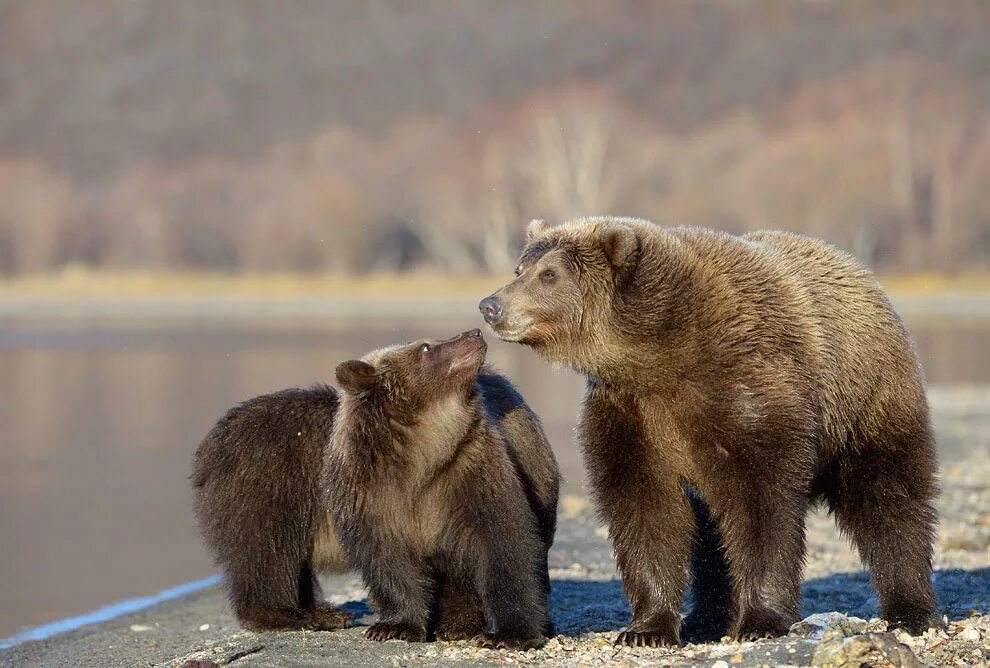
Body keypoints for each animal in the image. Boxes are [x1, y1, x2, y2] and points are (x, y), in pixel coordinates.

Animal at [480, 217, 936, 644]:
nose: (490, 304)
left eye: (549, 274)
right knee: (712, 533)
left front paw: (761, 621)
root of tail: (861, 273)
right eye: (521, 268)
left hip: (866, 403)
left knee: (889, 500)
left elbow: (762, 508)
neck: (663, 352)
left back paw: (910, 611)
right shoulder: (632, 414)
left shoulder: (747, 392)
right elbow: (645, 507)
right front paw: (647, 628)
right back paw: (706, 616)